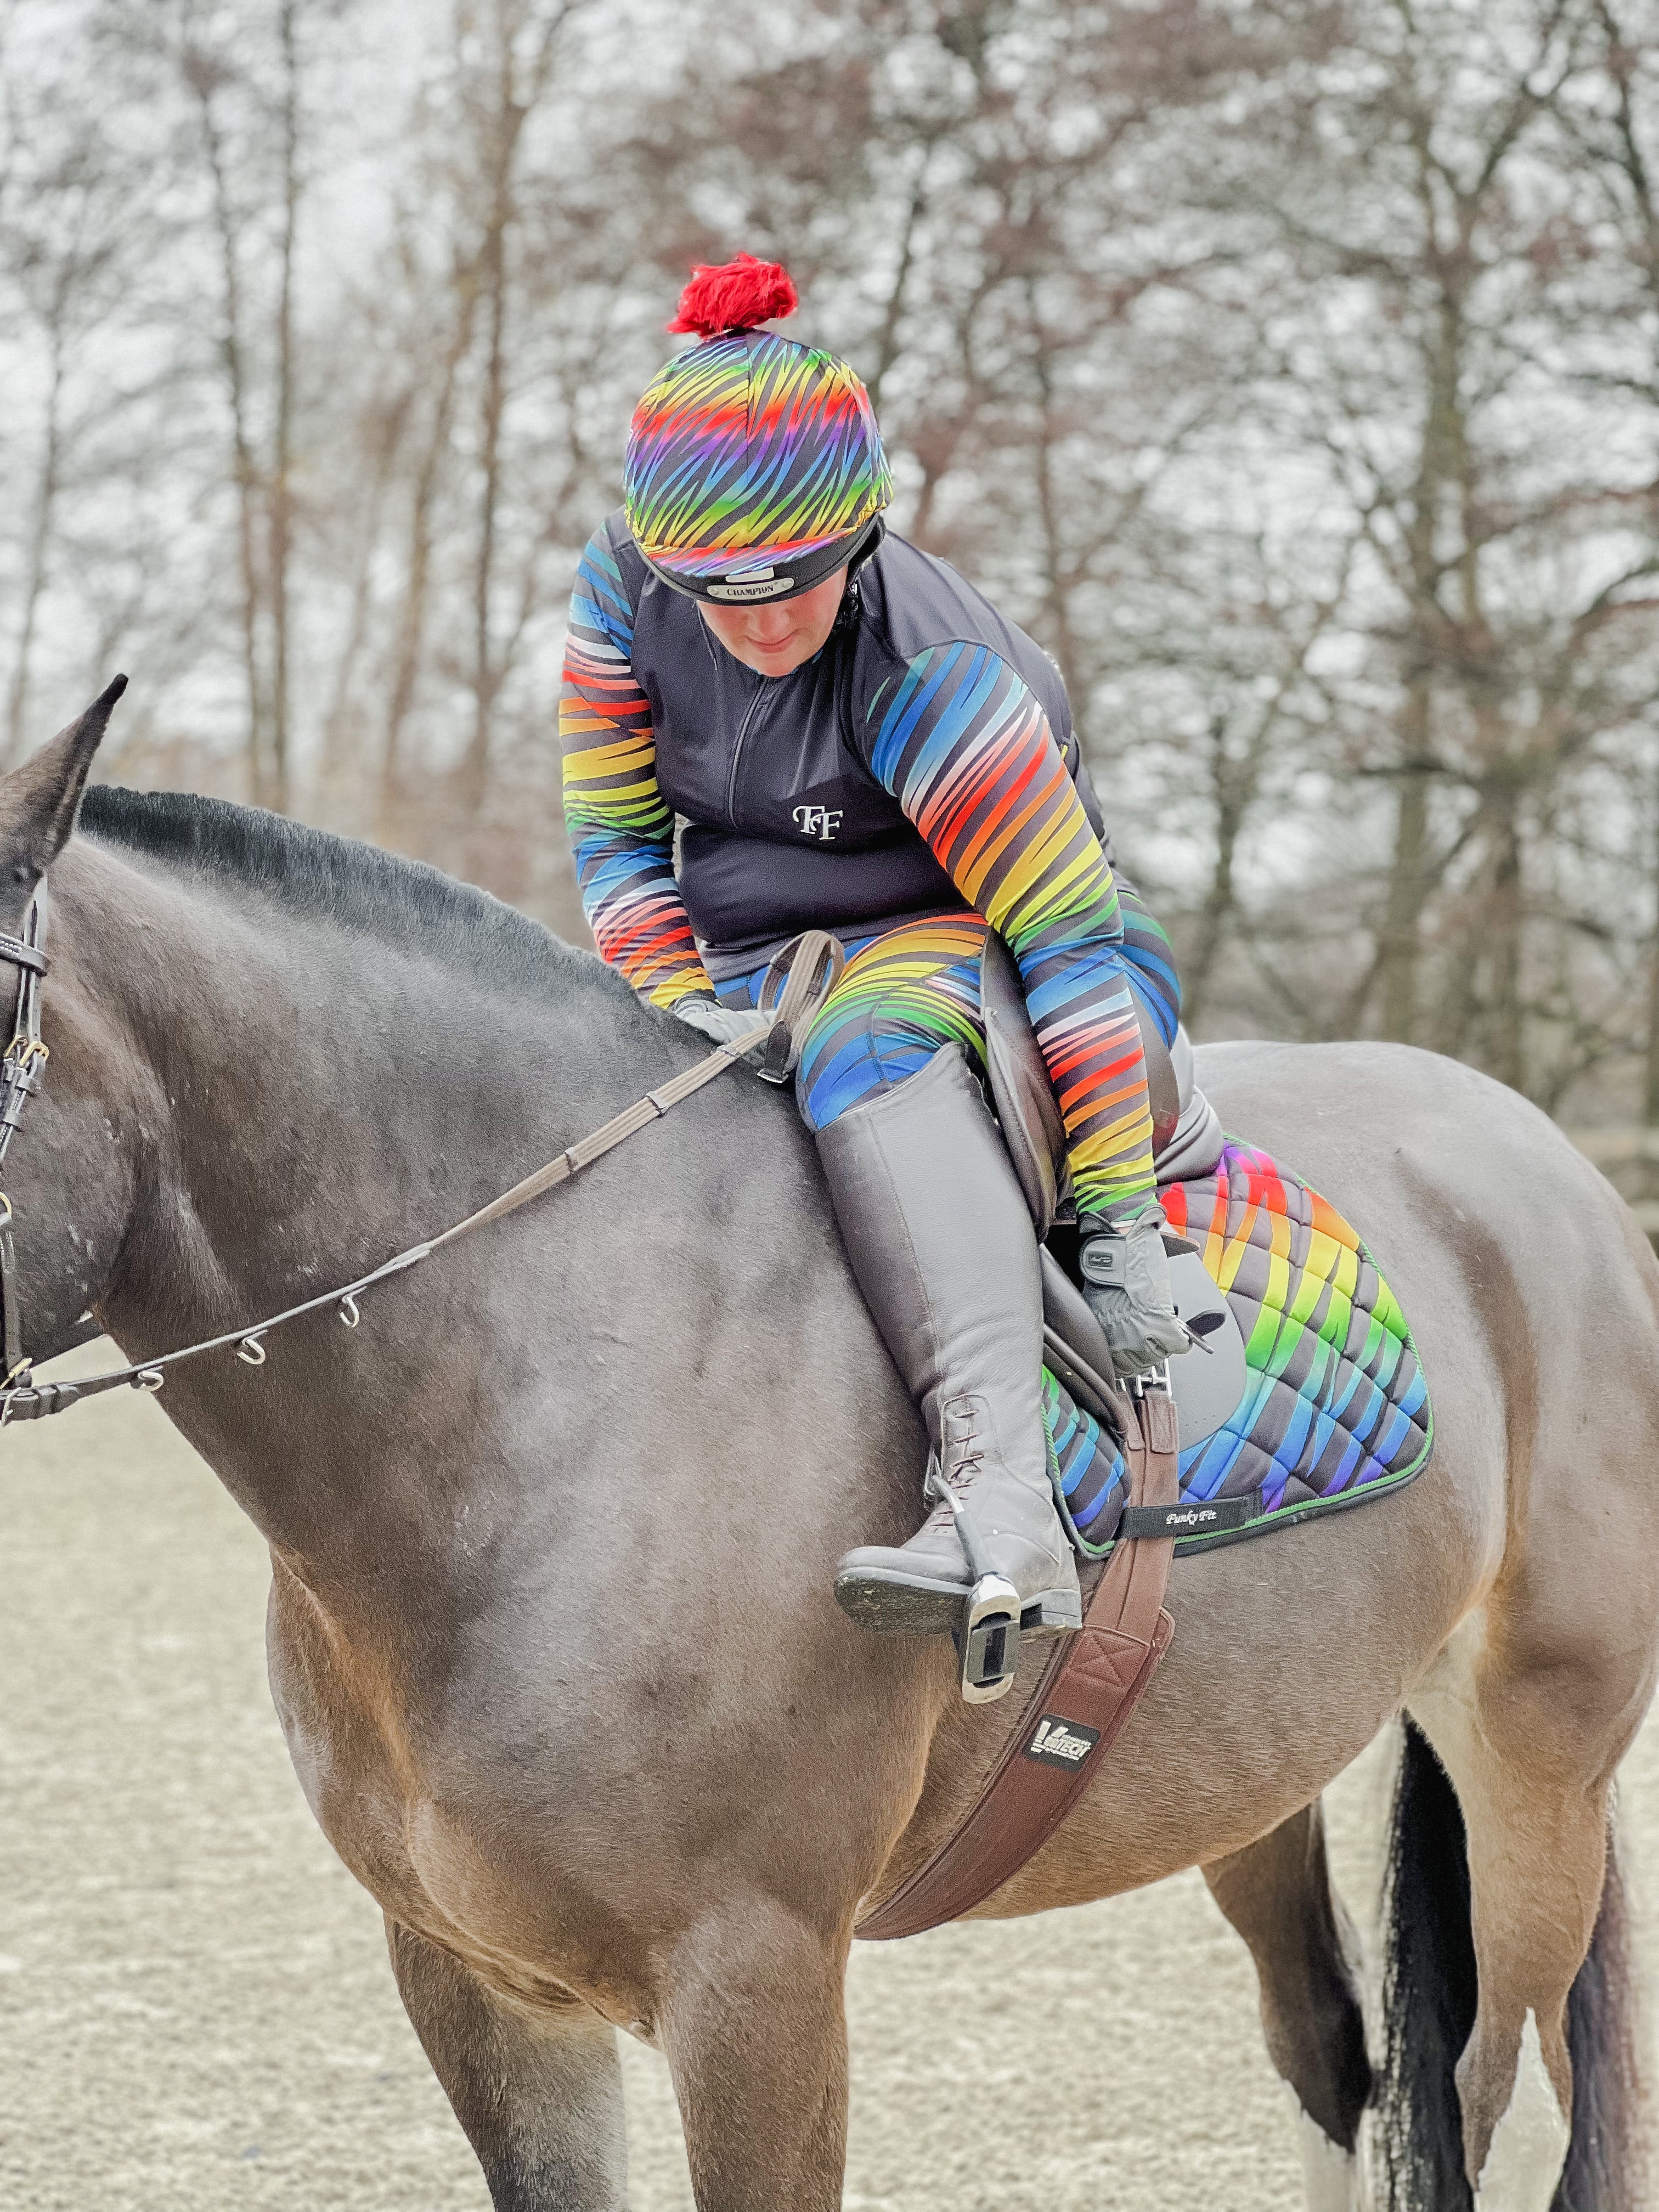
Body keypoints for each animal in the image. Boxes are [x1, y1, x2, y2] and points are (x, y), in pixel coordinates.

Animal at [6, 676, 1654, 2212]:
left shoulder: (761, 1985)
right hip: (1256, 1772)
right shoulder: (480, 1989)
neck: (543, 1393)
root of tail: (1549, 1162)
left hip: (1538, 1770)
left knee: (1513, 2096)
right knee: (1331, 2053)